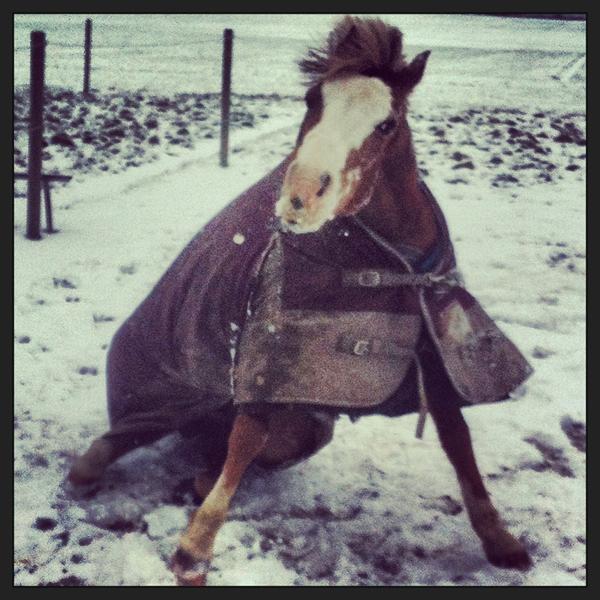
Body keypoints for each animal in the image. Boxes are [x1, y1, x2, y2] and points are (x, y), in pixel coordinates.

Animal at [68, 16, 532, 584]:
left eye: (386, 124)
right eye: (313, 100)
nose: (301, 196)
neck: (394, 265)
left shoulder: (436, 346)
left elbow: (458, 439)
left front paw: (501, 541)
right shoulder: (269, 356)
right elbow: (246, 438)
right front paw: (194, 549)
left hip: (304, 424)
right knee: (105, 453)